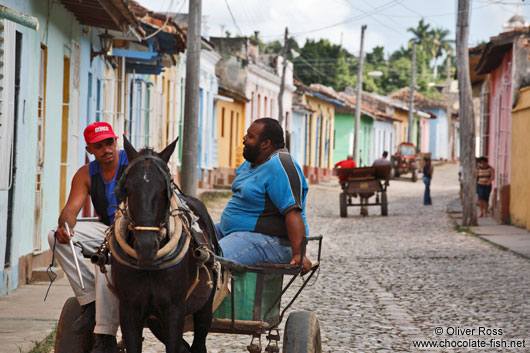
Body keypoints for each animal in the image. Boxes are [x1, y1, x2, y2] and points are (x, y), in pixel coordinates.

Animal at [110, 137, 220, 352]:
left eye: (165, 189)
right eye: (126, 188)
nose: (146, 247)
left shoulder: (174, 310)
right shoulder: (129, 309)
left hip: (204, 307)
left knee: (199, 341)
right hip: (155, 321)